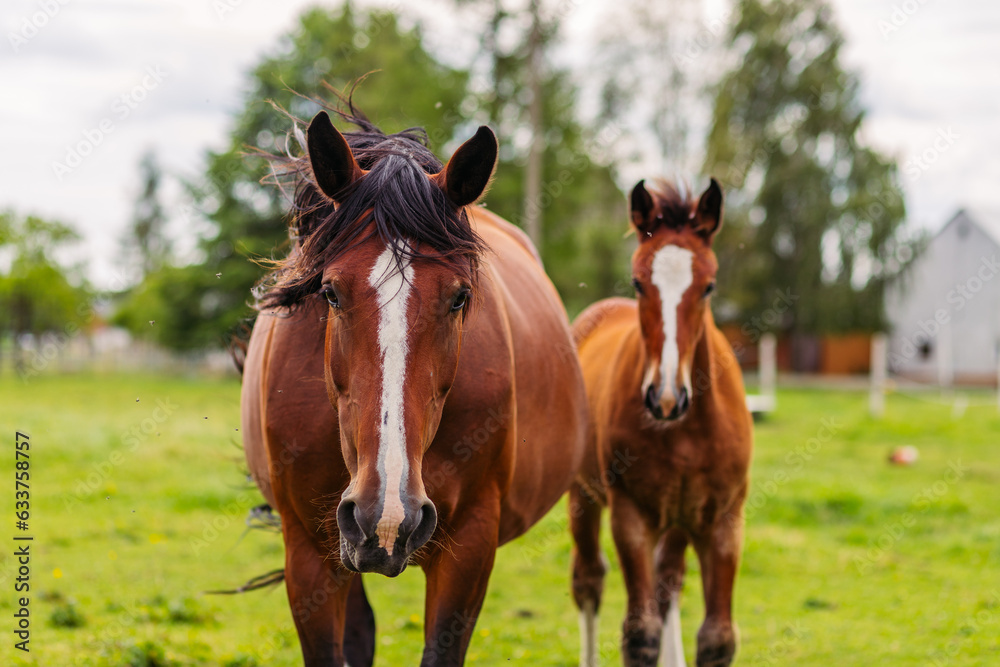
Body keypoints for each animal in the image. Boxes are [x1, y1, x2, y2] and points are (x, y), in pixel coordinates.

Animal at [572, 179, 752, 667]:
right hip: (583, 495)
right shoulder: (631, 516)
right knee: (588, 581)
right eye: (639, 281)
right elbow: (640, 635)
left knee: (668, 580)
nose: (665, 398)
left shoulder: (722, 520)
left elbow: (717, 638)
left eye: (709, 286)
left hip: (678, 520)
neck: (685, 429)